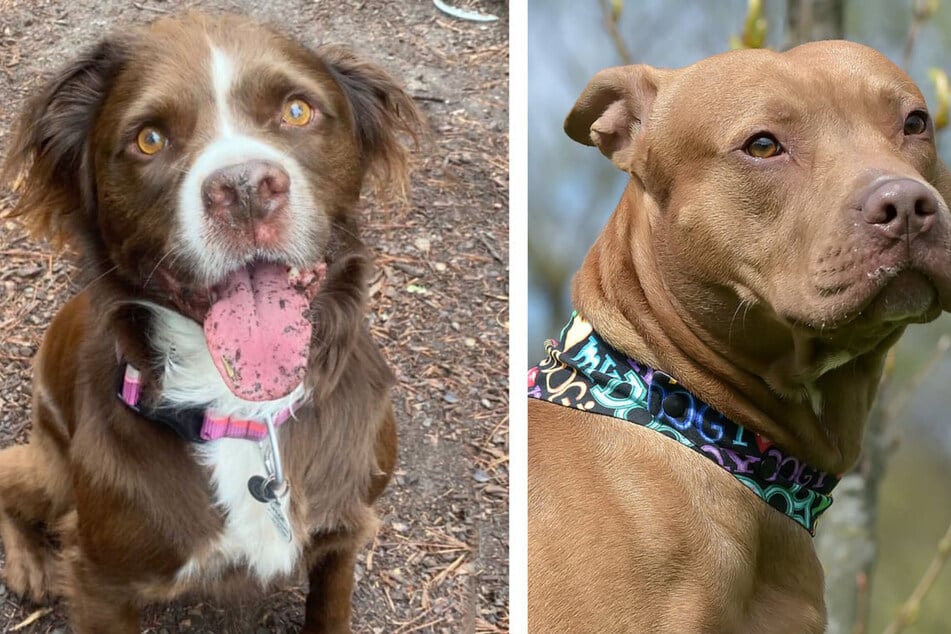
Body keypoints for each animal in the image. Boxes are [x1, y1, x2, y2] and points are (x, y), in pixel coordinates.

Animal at [0, 11, 416, 632]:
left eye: (297, 110)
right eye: (149, 138)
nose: (244, 189)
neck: (244, 413)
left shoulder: (345, 526)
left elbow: (330, 607)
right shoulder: (100, 578)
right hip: (55, 470)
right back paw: (28, 563)